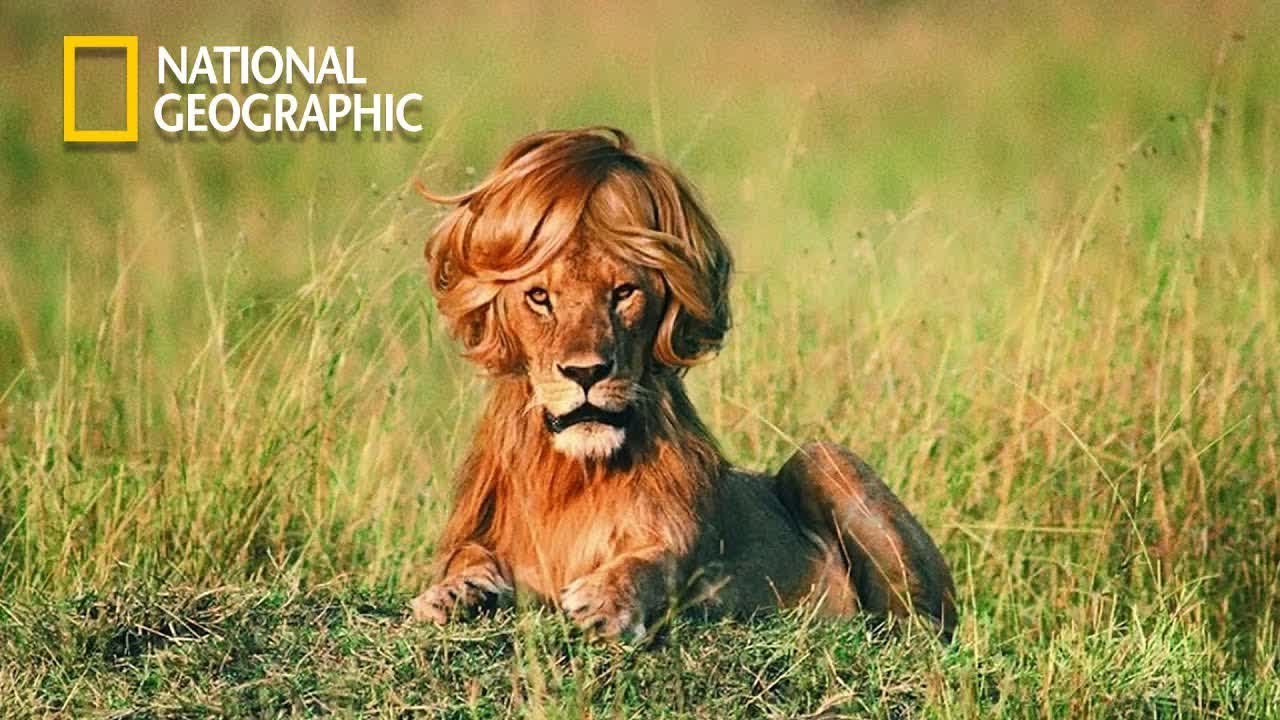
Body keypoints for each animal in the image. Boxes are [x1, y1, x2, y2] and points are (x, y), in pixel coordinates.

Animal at [410, 127, 956, 641]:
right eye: (540, 297)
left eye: (623, 292)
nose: (586, 373)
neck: (572, 473)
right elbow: (467, 555)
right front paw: (453, 593)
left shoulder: (697, 554)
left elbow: (657, 561)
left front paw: (607, 600)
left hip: (823, 457)